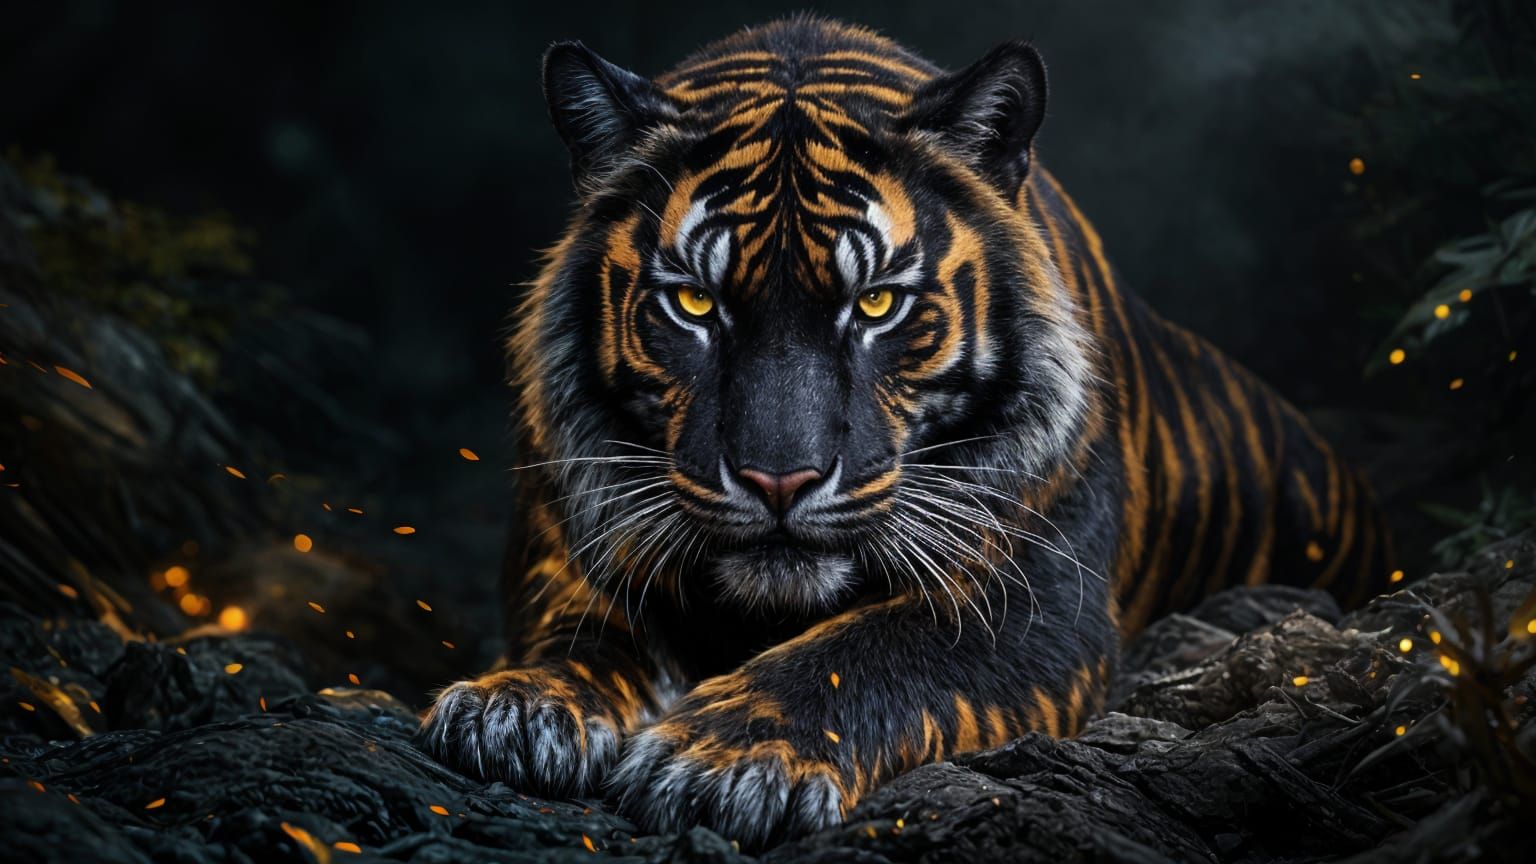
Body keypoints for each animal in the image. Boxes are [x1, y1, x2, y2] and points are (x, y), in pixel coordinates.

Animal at [420, 16, 1393, 849]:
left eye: (878, 303)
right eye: (693, 303)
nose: (780, 481)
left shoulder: (1034, 597)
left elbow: (873, 650)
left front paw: (723, 760)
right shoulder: (571, 544)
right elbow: (582, 632)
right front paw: (514, 708)